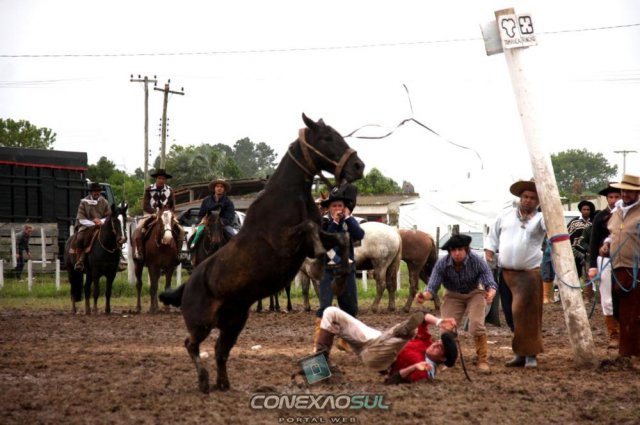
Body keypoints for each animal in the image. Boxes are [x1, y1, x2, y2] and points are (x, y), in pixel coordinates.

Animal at [159, 114, 364, 393]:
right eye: (326, 137)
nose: (358, 166)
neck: (289, 196)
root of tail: (187, 286)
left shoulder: (315, 238)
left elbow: (341, 237)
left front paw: (341, 275)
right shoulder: (284, 244)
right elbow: (310, 230)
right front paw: (322, 260)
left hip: (234, 322)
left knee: (220, 350)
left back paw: (223, 383)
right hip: (201, 322)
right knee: (191, 345)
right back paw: (204, 381)